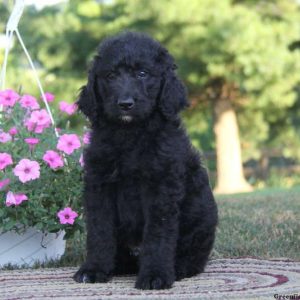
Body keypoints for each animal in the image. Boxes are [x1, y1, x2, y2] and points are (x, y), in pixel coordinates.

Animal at [73, 31, 217, 290]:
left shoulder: (161, 188)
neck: (130, 134)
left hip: (202, 216)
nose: (125, 104)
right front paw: (94, 269)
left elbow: (157, 234)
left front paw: (155, 275)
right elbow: (100, 230)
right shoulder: (99, 185)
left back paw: (179, 268)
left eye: (142, 73)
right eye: (111, 76)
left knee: (194, 257)